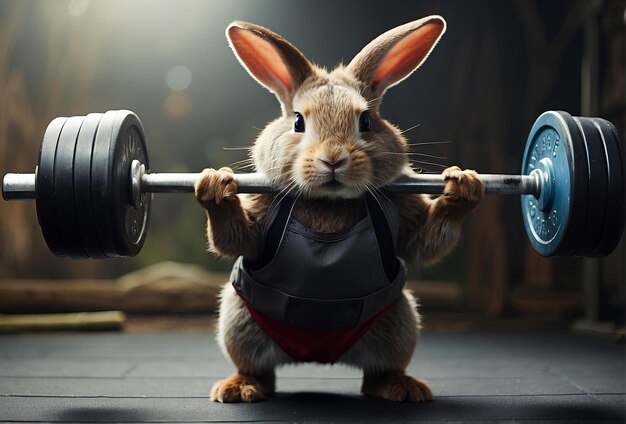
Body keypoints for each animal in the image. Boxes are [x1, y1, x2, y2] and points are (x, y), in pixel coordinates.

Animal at [194, 14, 482, 402]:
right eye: (298, 121)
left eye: (366, 121)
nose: (333, 159)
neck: (329, 204)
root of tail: (319, 356)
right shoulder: (258, 217)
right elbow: (233, 237)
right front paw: (214, 183)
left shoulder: (402, 211)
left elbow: (426, 243)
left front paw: (463, 184)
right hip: (239, 320)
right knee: (256, 368)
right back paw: (240, 388)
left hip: (399, 322)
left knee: (380, 371)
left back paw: (402, 388)